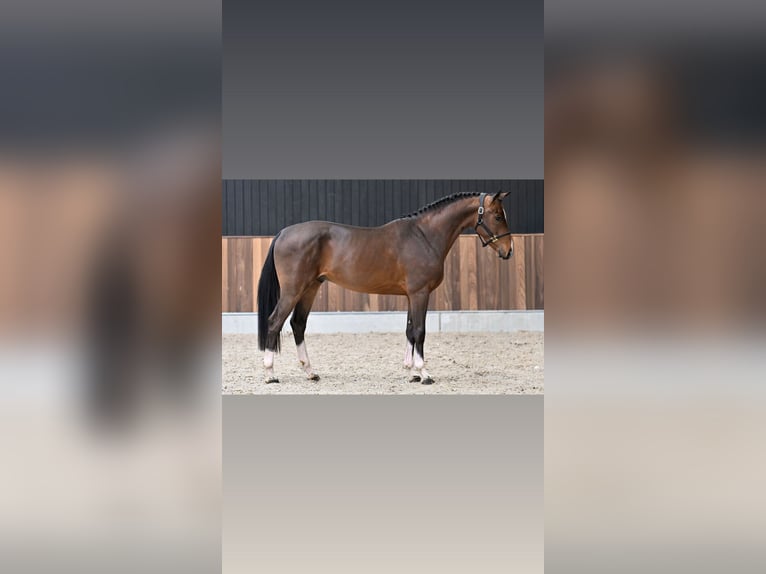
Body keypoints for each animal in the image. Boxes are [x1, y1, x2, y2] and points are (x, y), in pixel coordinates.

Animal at [256, 190, 513, 385]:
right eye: (497, 216)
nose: (509, 250)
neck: (424, 236)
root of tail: (283, 232)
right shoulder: (420, 293)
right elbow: (420, 331)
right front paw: (424, 373)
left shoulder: (411, 295)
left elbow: (410, 330)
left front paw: (411, 372)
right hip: (293, 290)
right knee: (274, 322)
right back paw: (270, 374)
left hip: (310, 288)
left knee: (298, 324)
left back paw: (310, 372)